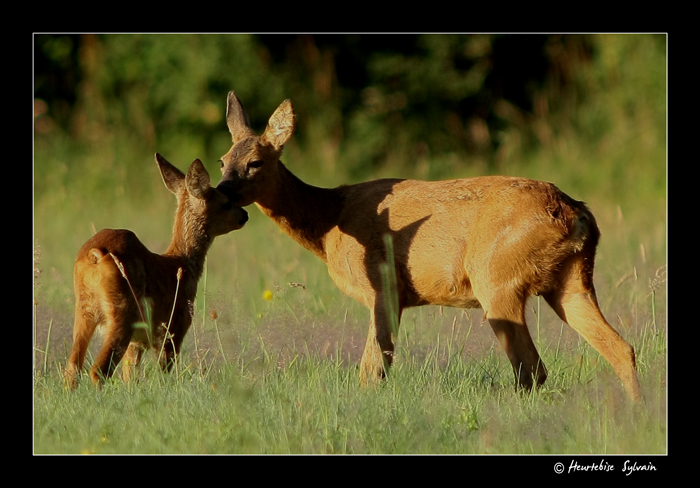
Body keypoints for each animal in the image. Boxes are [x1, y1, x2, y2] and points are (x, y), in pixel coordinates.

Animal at [63, 153, 249, 388]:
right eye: (226, 203)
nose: (245, 215)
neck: (182, 264)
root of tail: (94, 255)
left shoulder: (139, 341)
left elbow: (130, 376)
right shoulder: (174, 326)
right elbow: (164, 372)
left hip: (84, 309)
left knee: (72, 368)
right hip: (123, 309)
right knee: (99, 370)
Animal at [216, 90, 644, 400]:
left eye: (255, 162)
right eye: (222, 160)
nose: (221, 190)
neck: (328, 221)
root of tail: (575, 213)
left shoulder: (383, 286)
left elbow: (372, 369)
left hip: (496, 279)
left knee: (531, 369)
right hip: (571, 281)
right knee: (621, 349)